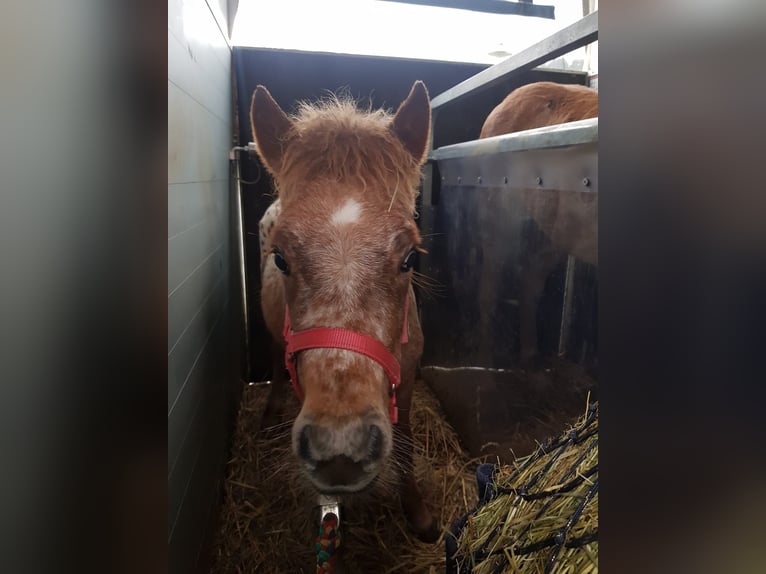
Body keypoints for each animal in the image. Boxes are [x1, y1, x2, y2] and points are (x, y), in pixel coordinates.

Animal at [252, 82, 440, 544]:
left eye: (410, 257)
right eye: (280, 258)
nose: (341, 449)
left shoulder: (407, 378)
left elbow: (406, 440)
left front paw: (419, 515)